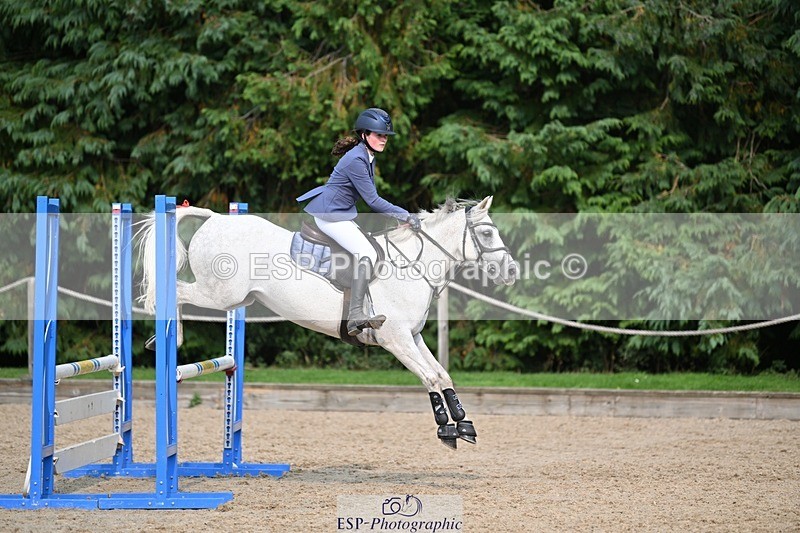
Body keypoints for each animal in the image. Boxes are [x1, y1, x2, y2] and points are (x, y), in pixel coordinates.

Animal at [138, 196, 518, 449]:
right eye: (487, 233)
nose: (512, 271)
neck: (413, 266)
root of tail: (215, 218)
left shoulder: (413, 338)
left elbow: (442, 374)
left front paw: (463, 424)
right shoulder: (395, 339)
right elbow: (430, 377)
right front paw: (445, 427)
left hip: (238, 299)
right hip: (220, 295)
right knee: (174, 292)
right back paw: (169, 338)